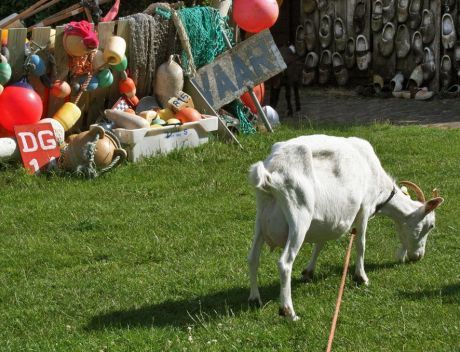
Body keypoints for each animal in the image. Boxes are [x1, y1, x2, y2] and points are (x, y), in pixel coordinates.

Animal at [250, 134, 444, 320]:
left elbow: (320, 243)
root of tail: (270, 173)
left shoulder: (327, 218)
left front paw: (308, 272)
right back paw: (288, 311)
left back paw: (255, 299)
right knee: (285, 262)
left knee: (253, 258)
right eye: (430, 225)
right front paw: (361, 277)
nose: (417, 257)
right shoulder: (365, 208)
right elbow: (361, 243)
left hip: (260, 219)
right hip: (299, 216)